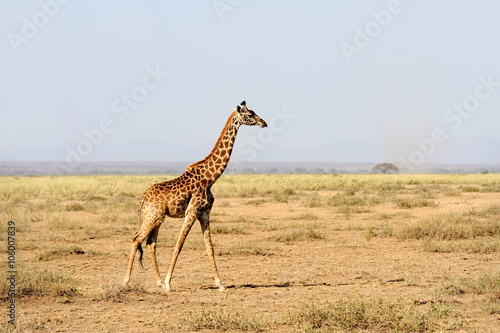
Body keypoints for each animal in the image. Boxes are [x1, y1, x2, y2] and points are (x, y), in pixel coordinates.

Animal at [123, 100, 268, 290]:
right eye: (250, 114)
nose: (264, 123)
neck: (210, 178)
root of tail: (143, 197)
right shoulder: (191, 212)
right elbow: (179, 245)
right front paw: (169, 284)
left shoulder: (204, 213)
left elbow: (210, 247)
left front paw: (220, 284)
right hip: (152, 217)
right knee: (136, 240)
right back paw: (126, 281)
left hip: (157, 218)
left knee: (150, 243)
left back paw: (158, 282)